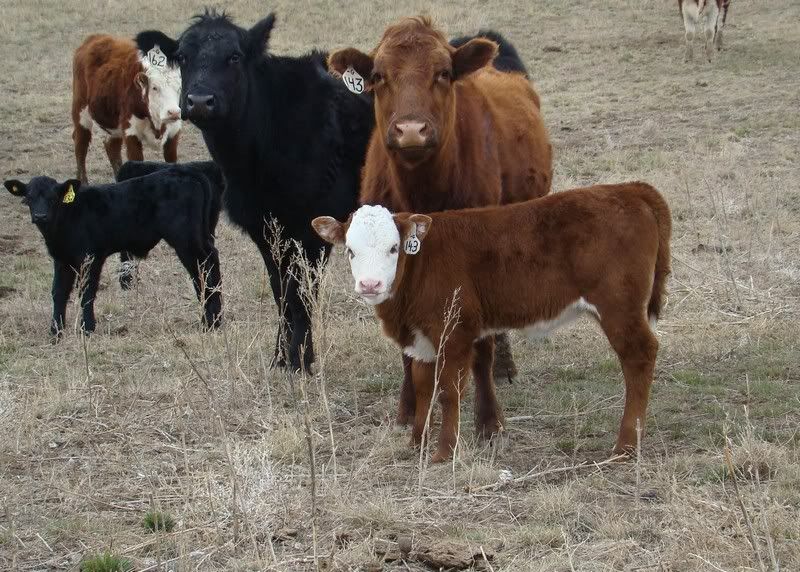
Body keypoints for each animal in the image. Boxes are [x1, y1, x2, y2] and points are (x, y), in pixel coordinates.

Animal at [72, 32, 182, 184]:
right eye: (154, 87)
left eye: (179, 87)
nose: (174, 112)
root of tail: (94, 37)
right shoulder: (131, 133)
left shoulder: (173, 134)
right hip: (81, 112)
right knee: (80, 145)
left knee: (111, 146)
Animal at [173, 10, 375, 372]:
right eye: (182, 56)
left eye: (234, 56)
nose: (199, 102)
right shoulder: (265, 227)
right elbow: (281, 291)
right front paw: (281, 357)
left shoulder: (313, 227)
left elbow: (302, 292)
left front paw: (300, 360)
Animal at [312, 182, 672, 462]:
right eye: (350, 251)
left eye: (393, 248)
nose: (370, 285)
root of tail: (630, 189)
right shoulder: (422, 339)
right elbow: (423, 387)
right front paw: (417, 444)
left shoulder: (455, 333)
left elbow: (448, 391)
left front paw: (445, 452)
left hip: (619, 307)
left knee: (640, 356)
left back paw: (626, 446)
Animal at [327, 16, 553, 436]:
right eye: (378, 76)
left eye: (443, 73)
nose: (411, 130)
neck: (424, 188)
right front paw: (408, 410)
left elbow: (481, 346)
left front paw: (488, 421)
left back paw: (504, 368)